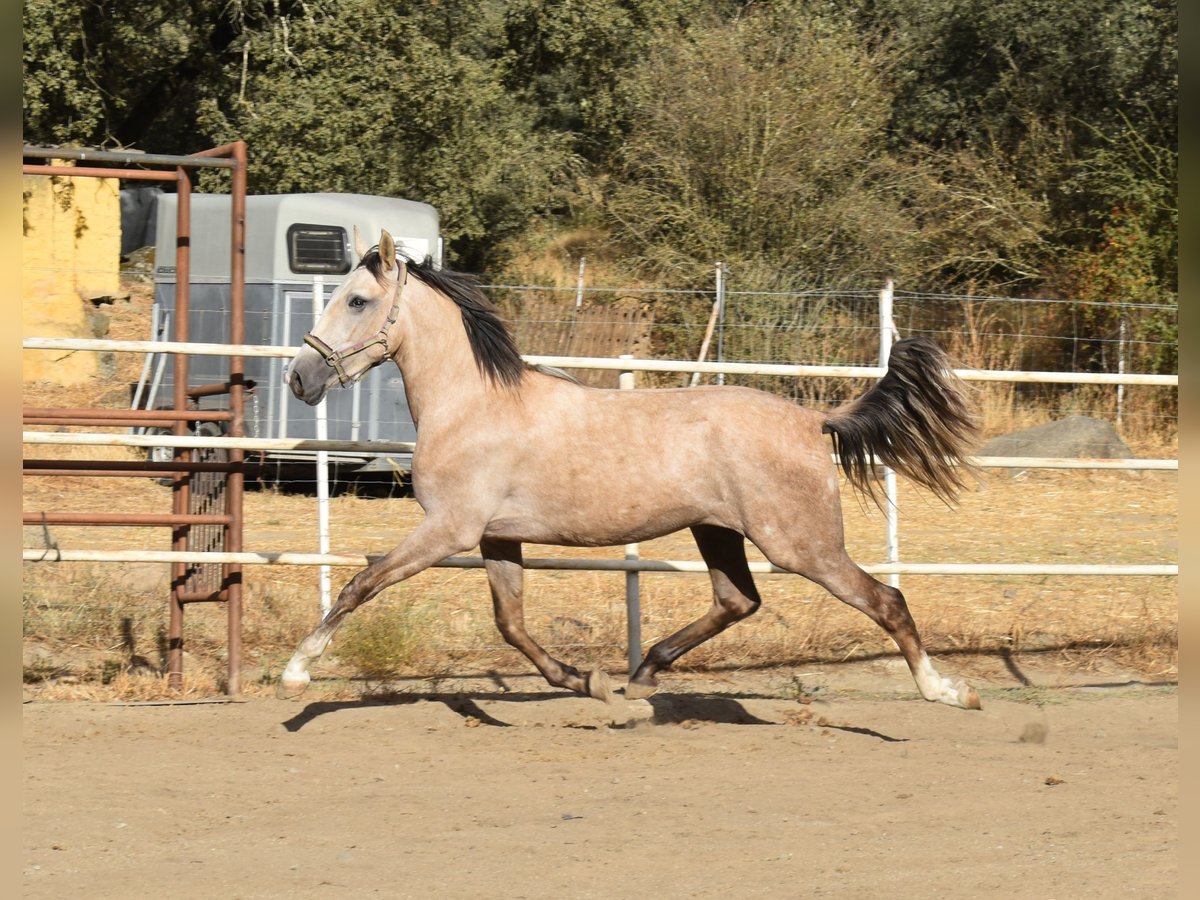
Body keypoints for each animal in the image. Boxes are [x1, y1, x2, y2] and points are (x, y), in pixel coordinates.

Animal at [280, 230, 984, 710]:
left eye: (357, 300)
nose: (299, 378)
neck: (472, 403)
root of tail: (815, 422)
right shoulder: (496, 536)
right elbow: (511, 623)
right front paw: (584, 681)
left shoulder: (448, 529)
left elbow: (361, 584)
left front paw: (298, 670)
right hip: (717, 530)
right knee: (738, 600)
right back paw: (642, 676)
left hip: (799, 543)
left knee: (886, 600)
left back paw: (949, 692)